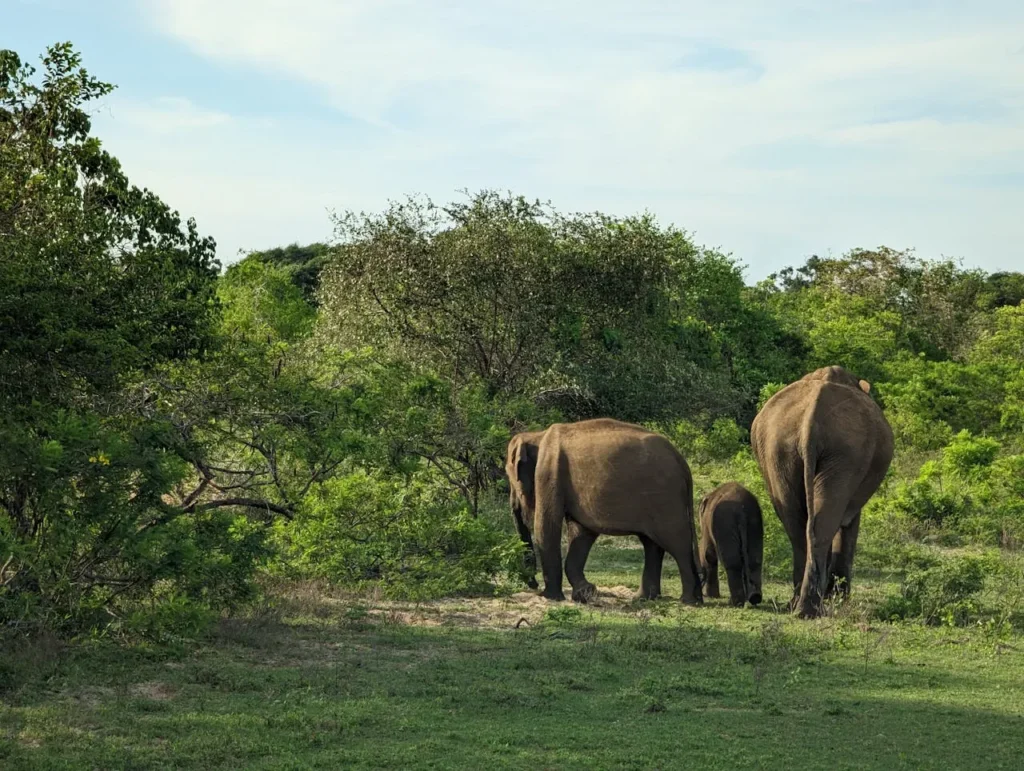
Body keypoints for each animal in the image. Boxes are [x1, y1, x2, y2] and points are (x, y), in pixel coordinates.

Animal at [505, 418, 703, 605]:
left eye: (510, 477)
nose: (533, 584)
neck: (537, 435)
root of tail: (682, 462)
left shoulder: (548, 473)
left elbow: (547, 526)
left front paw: (551, 597)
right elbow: (581, 532)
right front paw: (585, 593)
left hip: (665, 498)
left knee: (676, 543)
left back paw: (688, 600)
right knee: (651, 544)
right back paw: (645, 598)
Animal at [751, 365, 894, 618]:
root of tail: (810, 421)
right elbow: (849, 522)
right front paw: (839, 598)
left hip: (779, 451)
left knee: (799, 526)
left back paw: (798, 607)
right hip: (846, 453)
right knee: (822, 523)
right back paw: (812, 609)